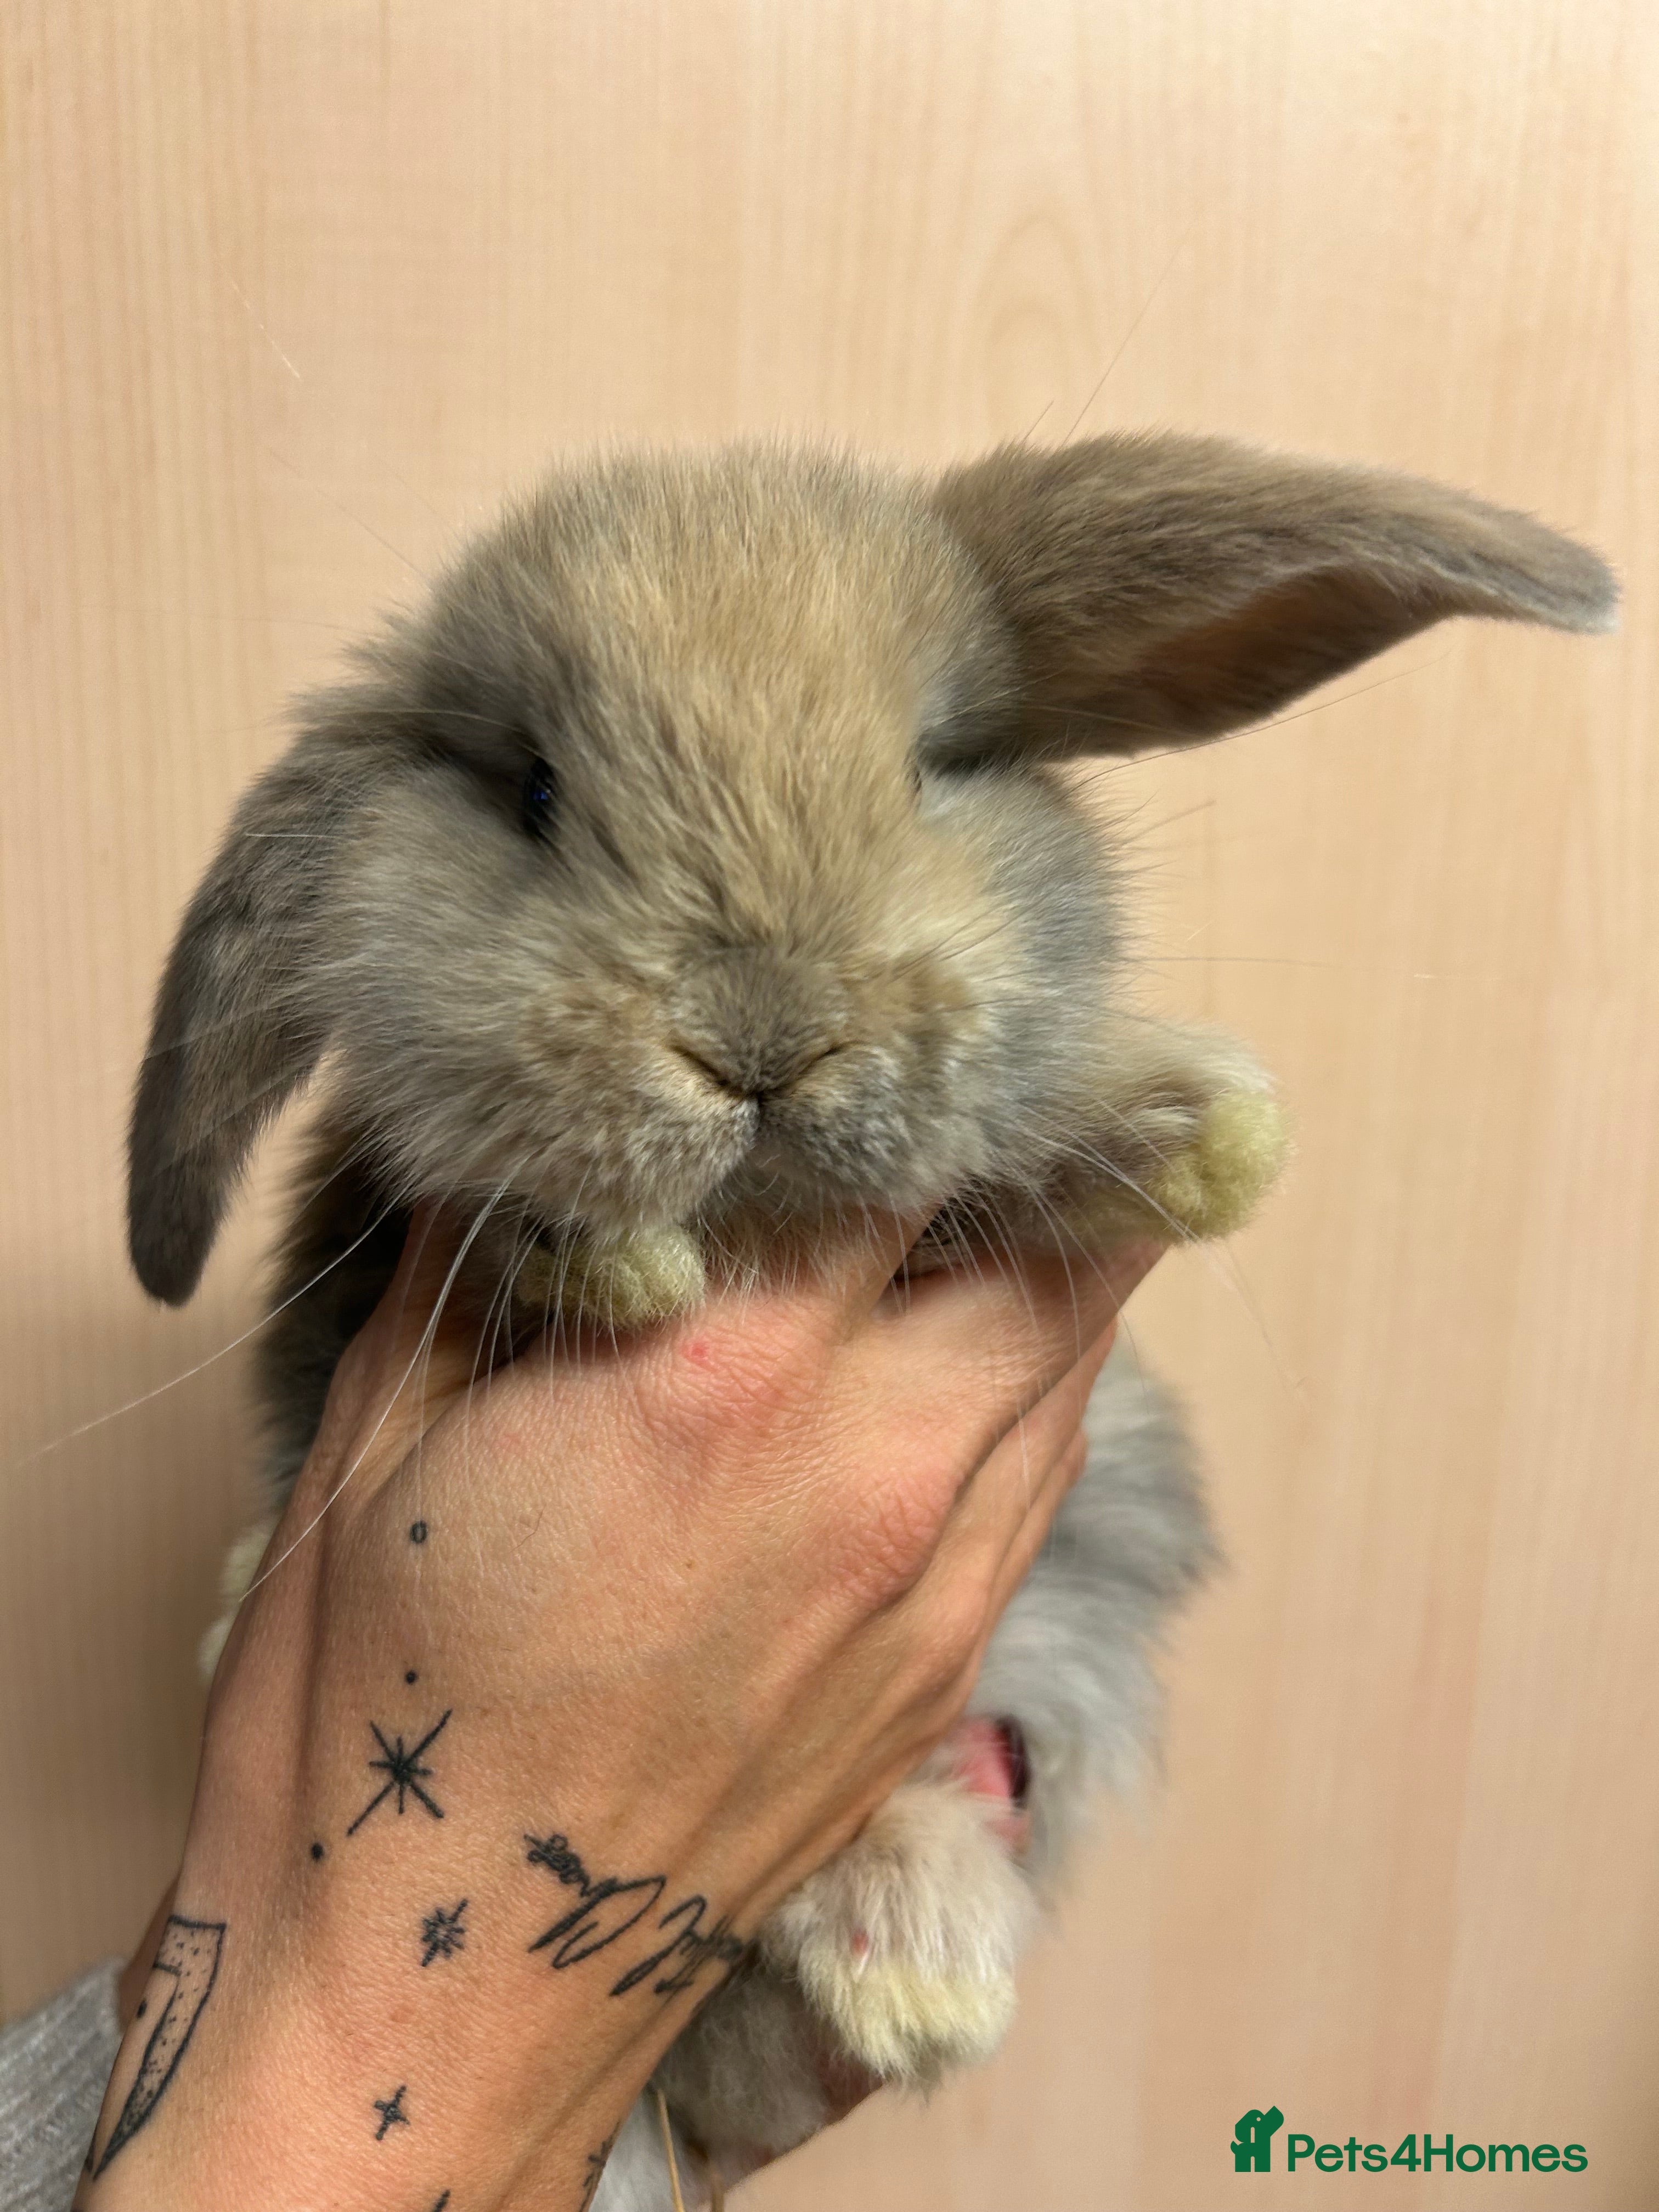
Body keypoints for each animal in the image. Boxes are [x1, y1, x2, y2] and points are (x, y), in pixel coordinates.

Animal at [125, 435, 1614, 2206]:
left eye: (936, 762)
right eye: (536, 794)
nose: (761, 1037)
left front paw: (1200, 1126)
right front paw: (610, 1258)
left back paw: (918, 1966)